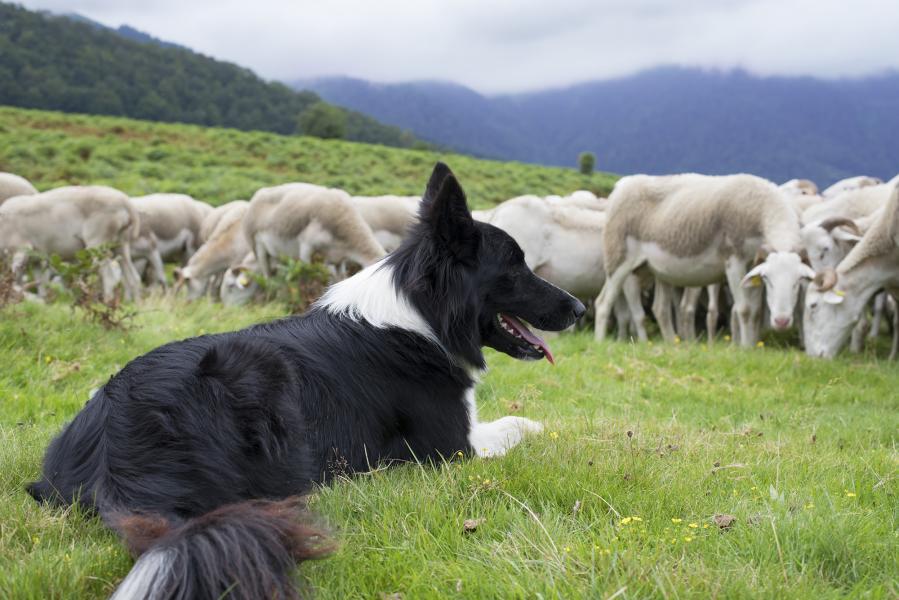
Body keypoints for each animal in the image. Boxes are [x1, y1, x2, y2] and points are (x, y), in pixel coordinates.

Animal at [0, 185, 142, 300]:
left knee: (108, 277)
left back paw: (106, 303)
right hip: (121, 243)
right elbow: (40, 284)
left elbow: (14, 279)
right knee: (133, 278)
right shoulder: (36, 260)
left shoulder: (19, 250)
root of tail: (126, 204)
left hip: (98, 242)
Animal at [243, 183, 386, 278]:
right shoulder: (307, 246)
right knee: (266, 274)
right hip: (257, 246)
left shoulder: (339, 260)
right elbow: (310, 271)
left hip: (276, 253)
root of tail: (259, 192)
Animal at [596, 173, 812, 346]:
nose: (782, 322)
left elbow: (755, 311)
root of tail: (621, 185)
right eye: (769, 280)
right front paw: (744, 349)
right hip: (618, 258)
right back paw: (600, 343)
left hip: (657, 270)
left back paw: (672, 346)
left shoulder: (753, 264)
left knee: (660, 309)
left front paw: (751, 347)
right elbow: (744, 309)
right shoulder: (734, 260)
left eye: (798, 281)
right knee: (603, 303)